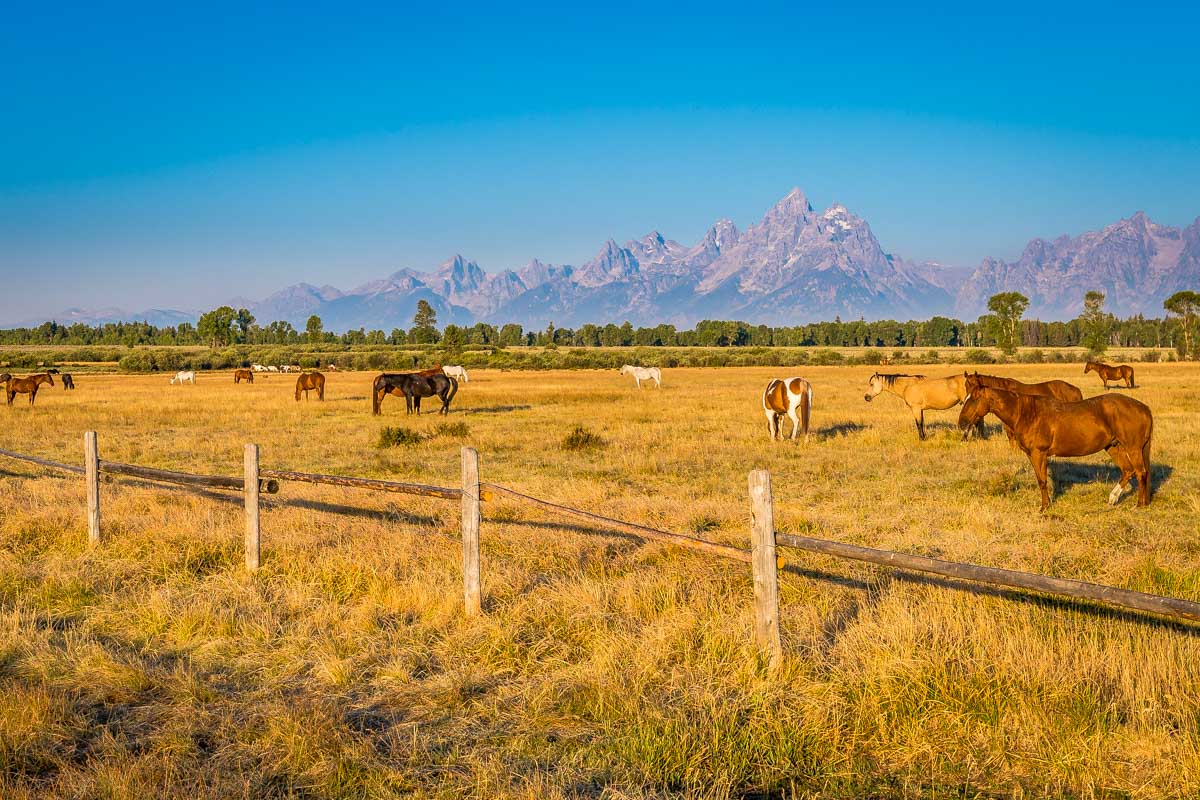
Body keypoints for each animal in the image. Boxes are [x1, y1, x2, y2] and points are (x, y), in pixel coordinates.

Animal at [959, 385, 1152, 510]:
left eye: (974, 399)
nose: (961, 423)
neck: (1027, 413)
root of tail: (1143, 408)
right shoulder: (1032, 455)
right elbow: (1041, 480)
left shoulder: (1039, 454)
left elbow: (1042, 481)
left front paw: (1045, 507)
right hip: (1112, 447)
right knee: (1128, 470)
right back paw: (1113, 499)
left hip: (1133, 449)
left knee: (1140, 472)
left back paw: (1139, 505)